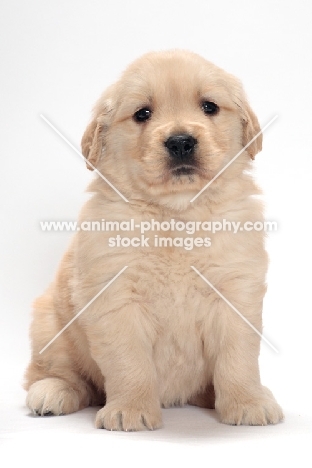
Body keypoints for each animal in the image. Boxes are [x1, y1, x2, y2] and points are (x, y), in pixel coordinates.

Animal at [24, 49, 282, 430]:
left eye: (209, 107)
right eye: (142, 113)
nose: (181, 142)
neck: (175, 215)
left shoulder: (236, 293)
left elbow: (238, 358)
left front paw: (247, 402)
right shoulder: (115, 299)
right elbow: (129, 362)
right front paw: (129, 409)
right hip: (49, 324)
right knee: (57, 374)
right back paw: (51, 392)